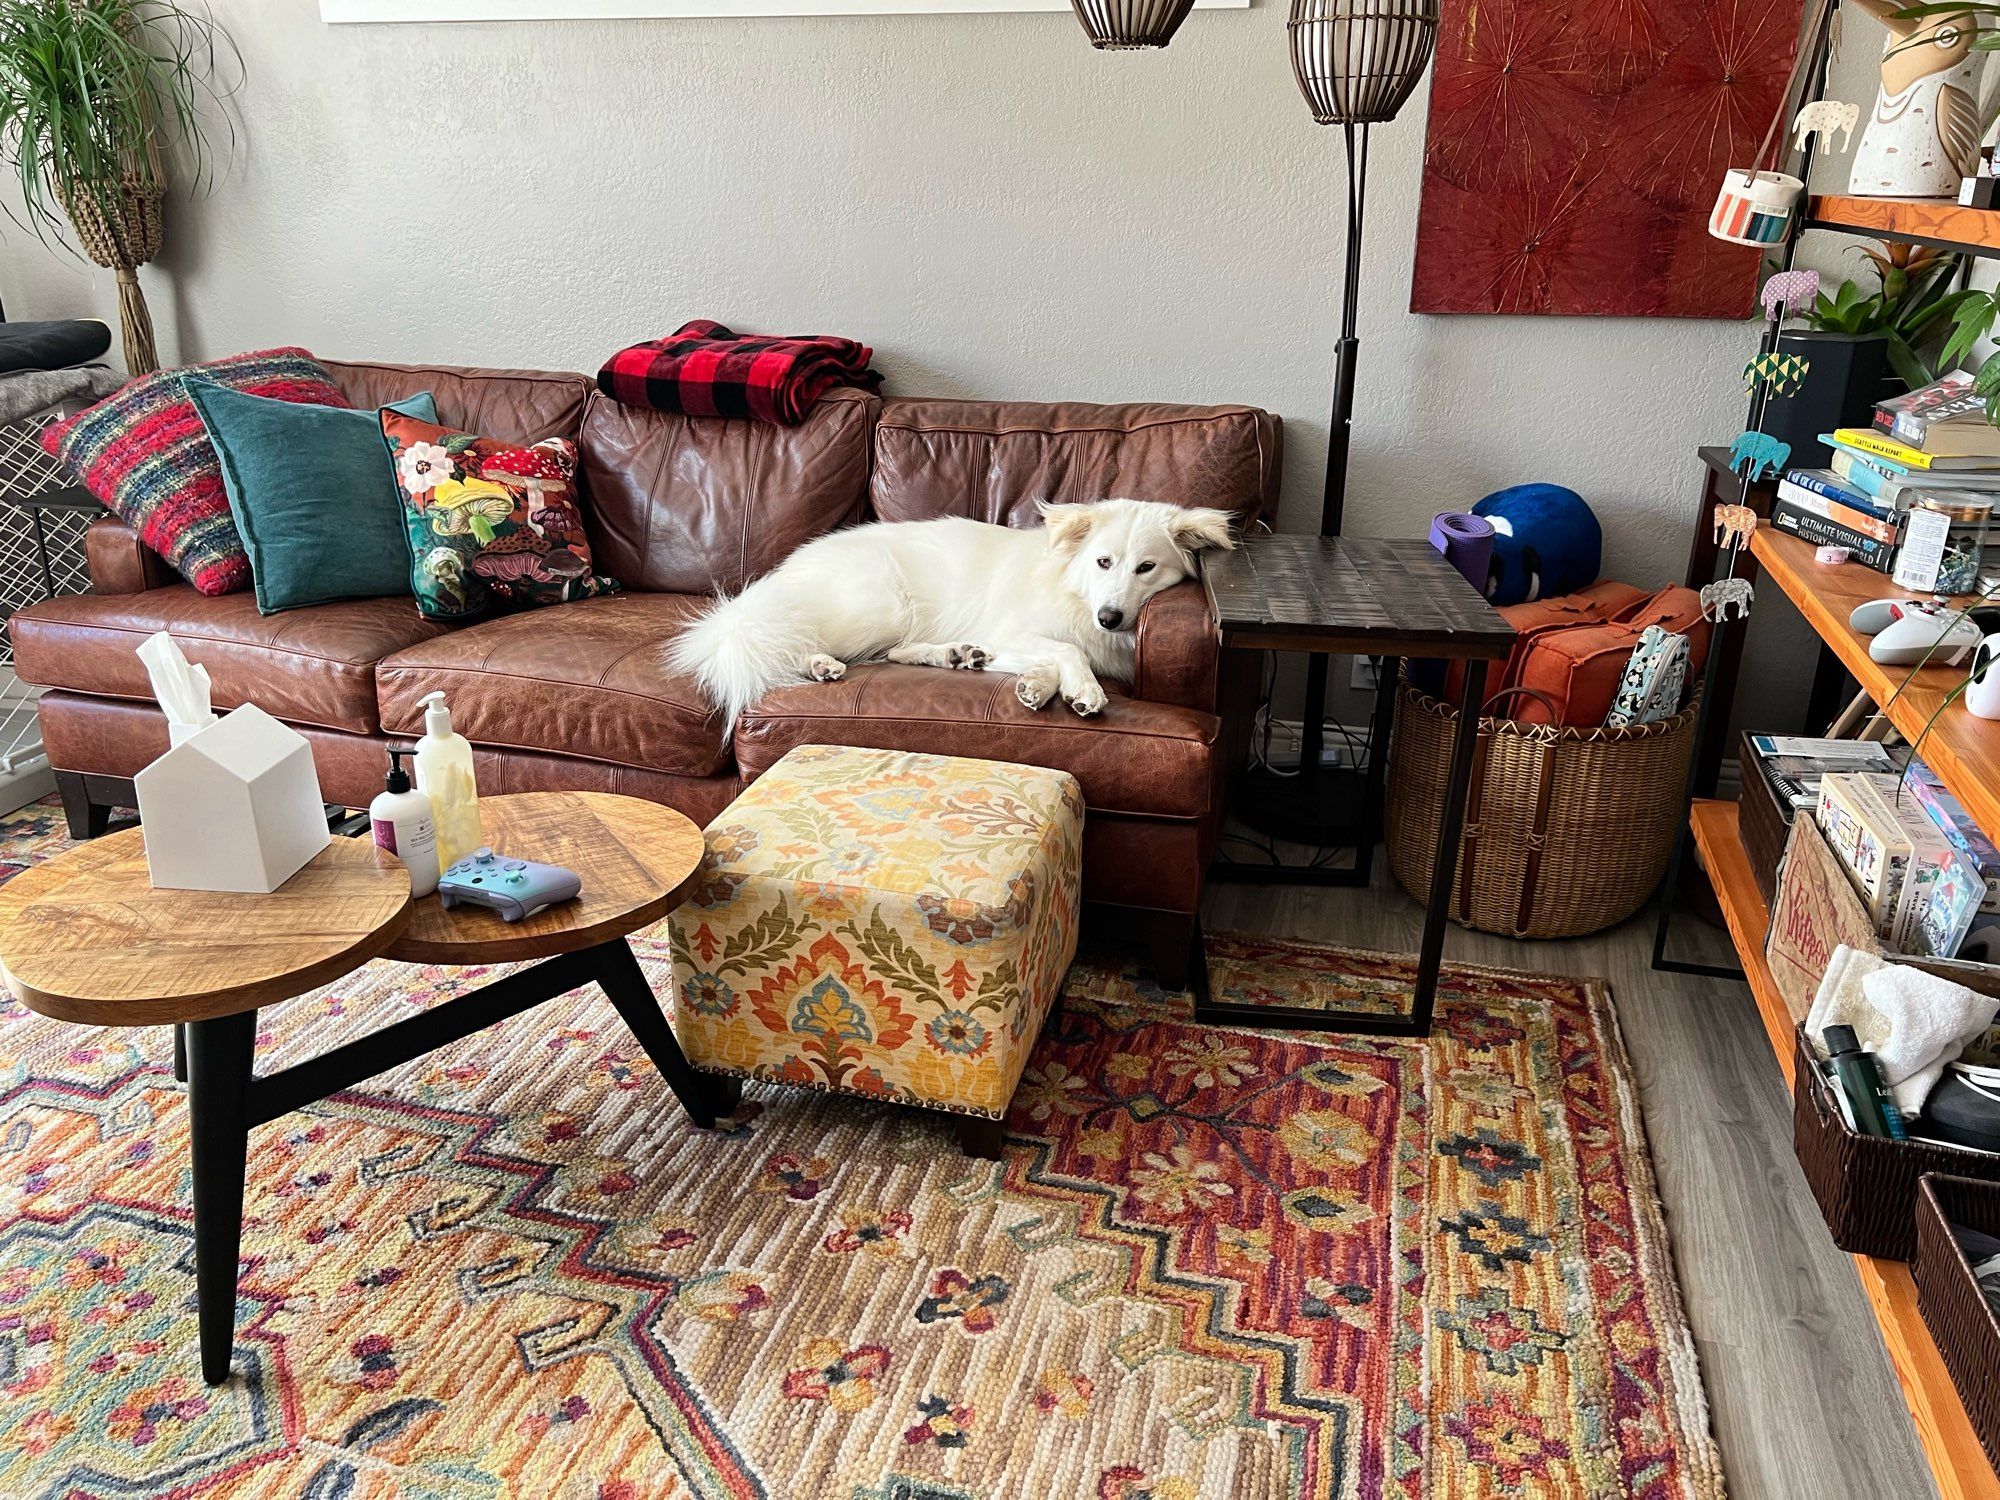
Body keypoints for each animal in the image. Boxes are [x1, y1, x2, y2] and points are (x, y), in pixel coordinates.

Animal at [672, 502, 1232, 732]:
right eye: (1103, 562)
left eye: (1146, 568)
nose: (1111, 618)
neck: (1074, 589)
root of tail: (786, 569)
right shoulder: (1015, 628)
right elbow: (1069, 649)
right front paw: (1083, 690)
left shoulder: (1011, 637)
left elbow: (1053, 656)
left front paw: (1038, 686)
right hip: (880, 606)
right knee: (795, 636)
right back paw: (820, 664)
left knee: (896, 652)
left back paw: (956, 654)